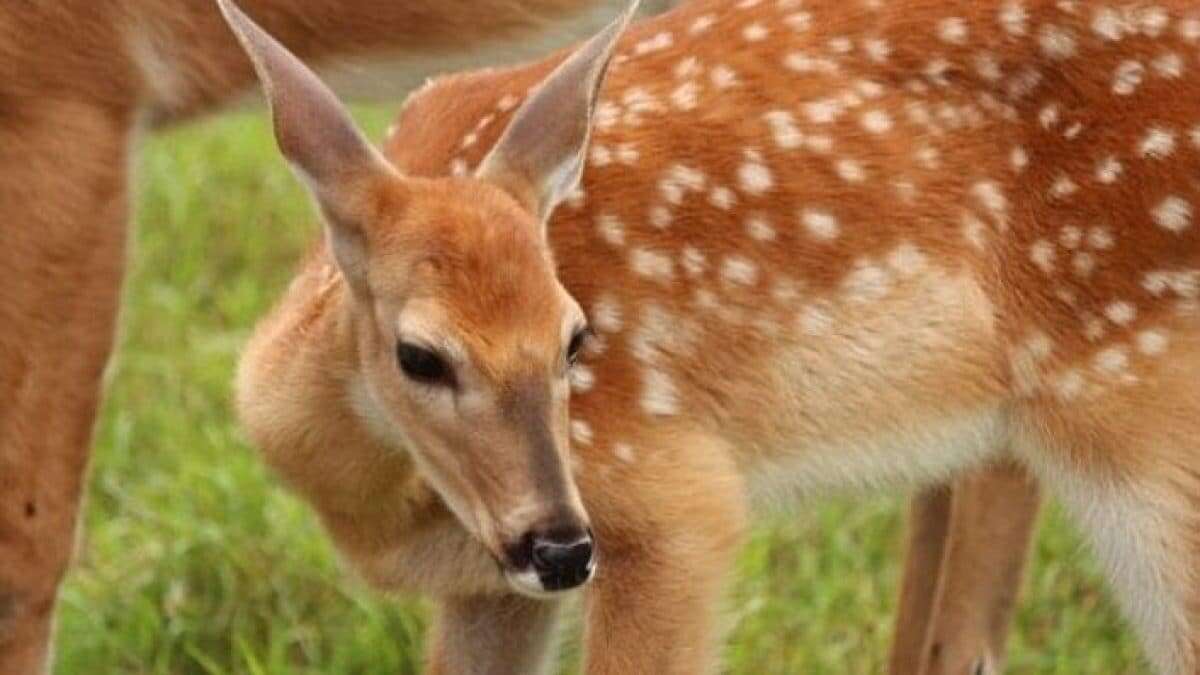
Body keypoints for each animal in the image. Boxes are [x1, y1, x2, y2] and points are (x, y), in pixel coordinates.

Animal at [225, 0, 1200, 667]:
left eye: (576, 337)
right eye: (419, 355)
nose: (561, 545)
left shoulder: (670, 499)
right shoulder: (488, 588)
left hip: (1138, 410)